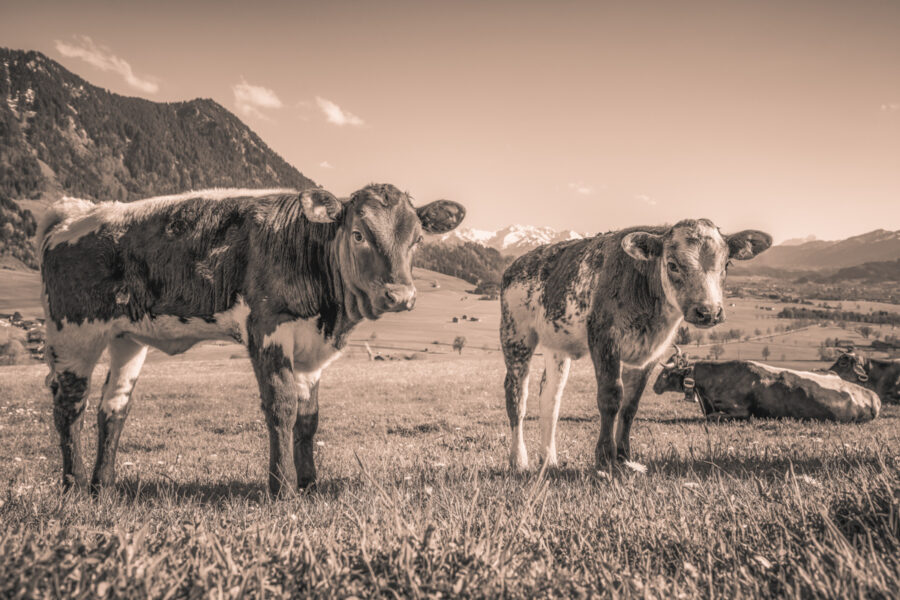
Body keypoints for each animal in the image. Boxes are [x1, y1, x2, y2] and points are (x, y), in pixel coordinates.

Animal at [38, 185, 468, 494]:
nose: (400, 296)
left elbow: (308, 418)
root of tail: (75, 213)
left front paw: (310, 484)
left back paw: (104, 487)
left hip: (127, 337)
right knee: (69, 407)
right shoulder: (268, 328)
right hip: (73, 331)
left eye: (417, 240)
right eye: (359, 234)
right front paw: (283, 489)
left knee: (113, 409)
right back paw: (75, 486)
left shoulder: (309, 348)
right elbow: (282, 408)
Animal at [496, 218, 768, 472]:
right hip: (515, 334)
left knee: (550, 398)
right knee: (516, 396)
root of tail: (520, 262)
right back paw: (518, 460)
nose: (708, 311)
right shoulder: (604, 338)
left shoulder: (650, 353)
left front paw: (624, 456)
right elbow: (611, 397)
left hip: (557, 346)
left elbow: (630, 405)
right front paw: (605, 456)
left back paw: (548, 460)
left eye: (726, 265)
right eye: (672, 265)